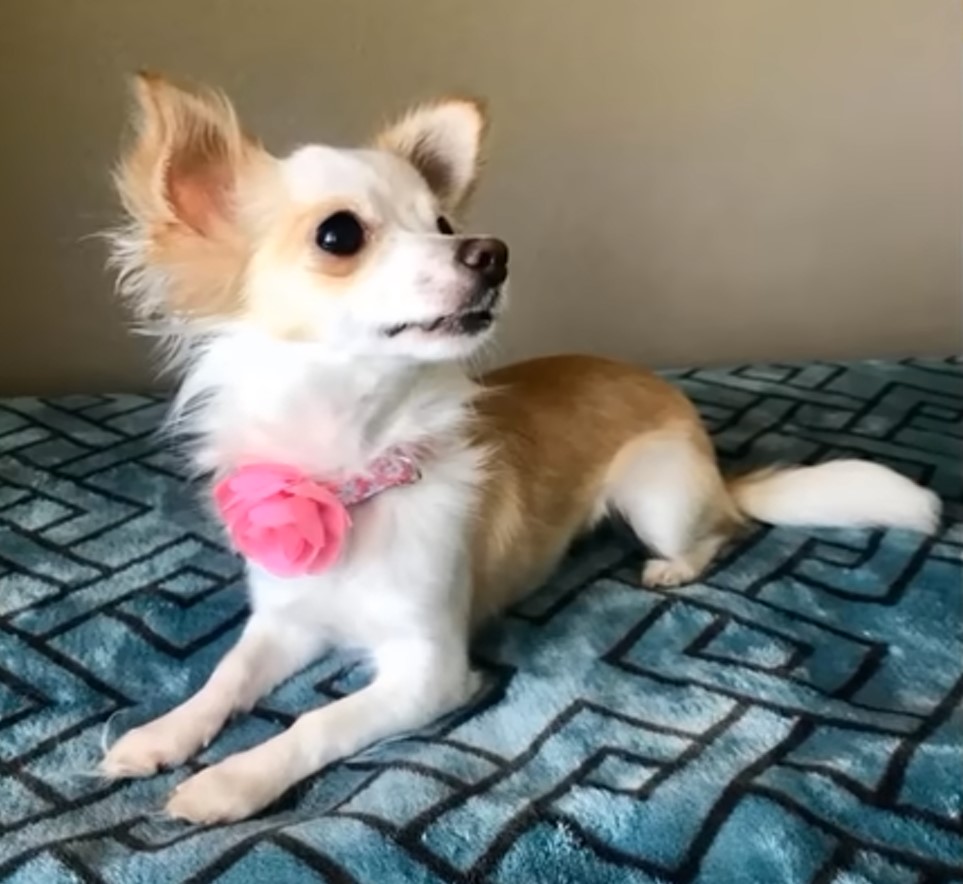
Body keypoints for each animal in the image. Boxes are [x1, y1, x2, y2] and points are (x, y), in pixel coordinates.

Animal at [100, 74, 940, 820]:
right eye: (339, 235)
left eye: (442, 224)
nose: (491, 252)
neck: (352, 470)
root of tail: (711, 461)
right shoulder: (284, 621)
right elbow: (225, 676)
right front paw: (161, 734)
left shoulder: (431, 671)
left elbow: (316, 721)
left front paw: (229, 781)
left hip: (655, 496)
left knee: (724, 532)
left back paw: (675, 564)